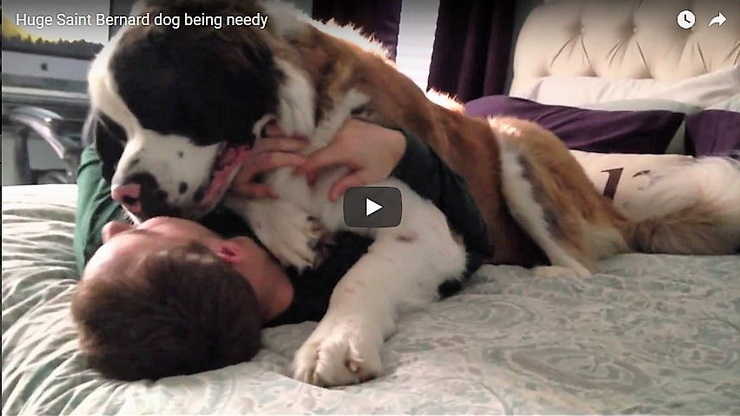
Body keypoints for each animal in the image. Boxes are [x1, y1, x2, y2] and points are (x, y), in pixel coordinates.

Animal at [85, 0, 740, 386]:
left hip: (513, 140)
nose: (126, 194)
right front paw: (289, 230)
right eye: (116, 129)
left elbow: (357, 279)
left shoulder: (431, 232)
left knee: (582, 264)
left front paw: (335, 341)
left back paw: (547, 274)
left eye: (161, 105)